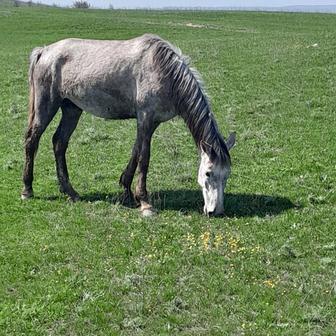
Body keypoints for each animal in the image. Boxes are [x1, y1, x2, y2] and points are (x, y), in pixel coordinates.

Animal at [21, 34, 236, 217]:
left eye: (227, 175)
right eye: (208, 173)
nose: (216, 211)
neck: (163, 71)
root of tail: (44, 51)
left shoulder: (150, 122)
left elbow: (136, 152)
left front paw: (127, 191)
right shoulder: (146, 119)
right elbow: (144, 158)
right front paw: (145, 203)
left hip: (71, 109)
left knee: (59, 142)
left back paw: (70, 192)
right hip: (46, 105)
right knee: (32, 140)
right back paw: (27, 190)